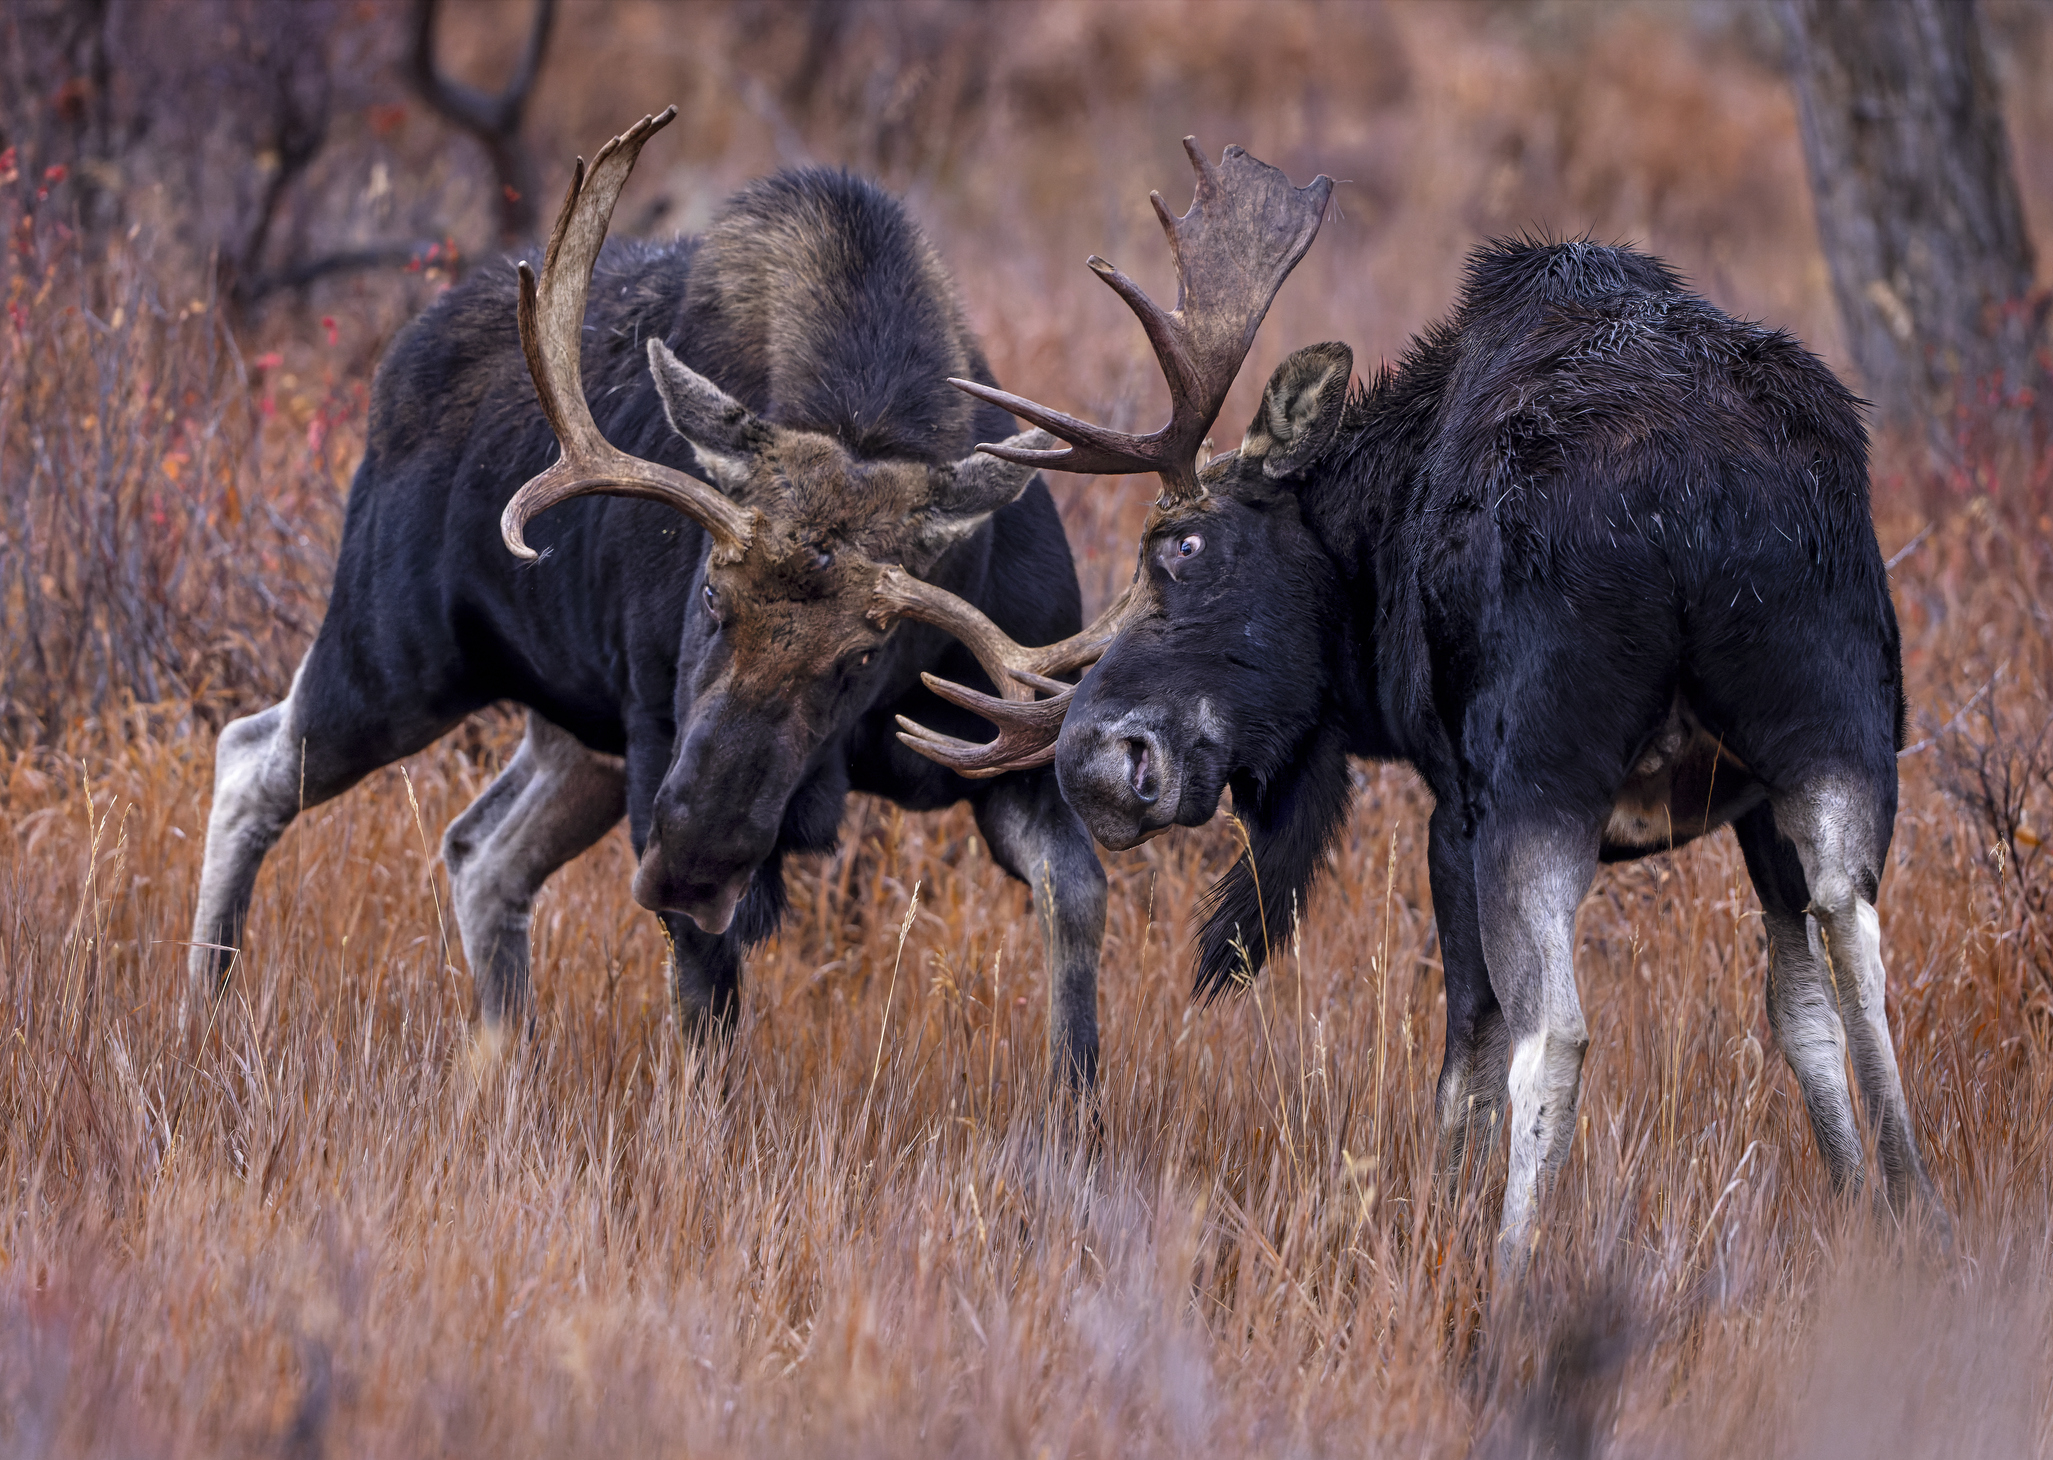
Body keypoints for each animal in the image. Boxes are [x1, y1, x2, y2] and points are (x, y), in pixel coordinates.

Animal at [190, 105, 1116, 1084]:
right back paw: (206, 1008)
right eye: (710, 592)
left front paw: (1073, 1105)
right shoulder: (656, 747)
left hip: (575, 732)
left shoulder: (1015, 751)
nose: (698, 857)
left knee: (482, 852)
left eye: (864, 653)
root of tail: (397, 362)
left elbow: (1078, 900)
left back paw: (500, 1062)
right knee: (250, 759)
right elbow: (707, 1013)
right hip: (397, 658)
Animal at [907, 139, 1946, 1281]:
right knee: (1856, 945)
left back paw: (1509, 1277)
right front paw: (1854, 1205)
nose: (1096, 762)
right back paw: (1913, 1210)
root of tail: (1693, 496)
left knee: (1555, 1033)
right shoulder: (1750, 800)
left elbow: (1465, 1063)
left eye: (1178, 544)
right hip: (1834, 731)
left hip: (1536, 776)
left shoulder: (1452, 802)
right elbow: (1799, 1015)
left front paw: (1441, 1222)